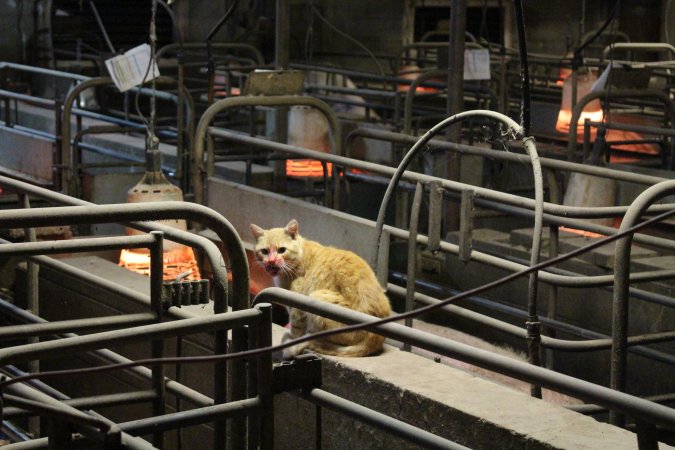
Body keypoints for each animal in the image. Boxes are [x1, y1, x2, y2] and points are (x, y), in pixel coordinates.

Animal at [252, 219, 390, 358]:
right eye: (264, 251)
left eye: (282, 250)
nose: (271, 261)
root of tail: (376, 338)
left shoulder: (296, 306)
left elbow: (296, 329)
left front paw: (292, 341)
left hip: (316, 297)